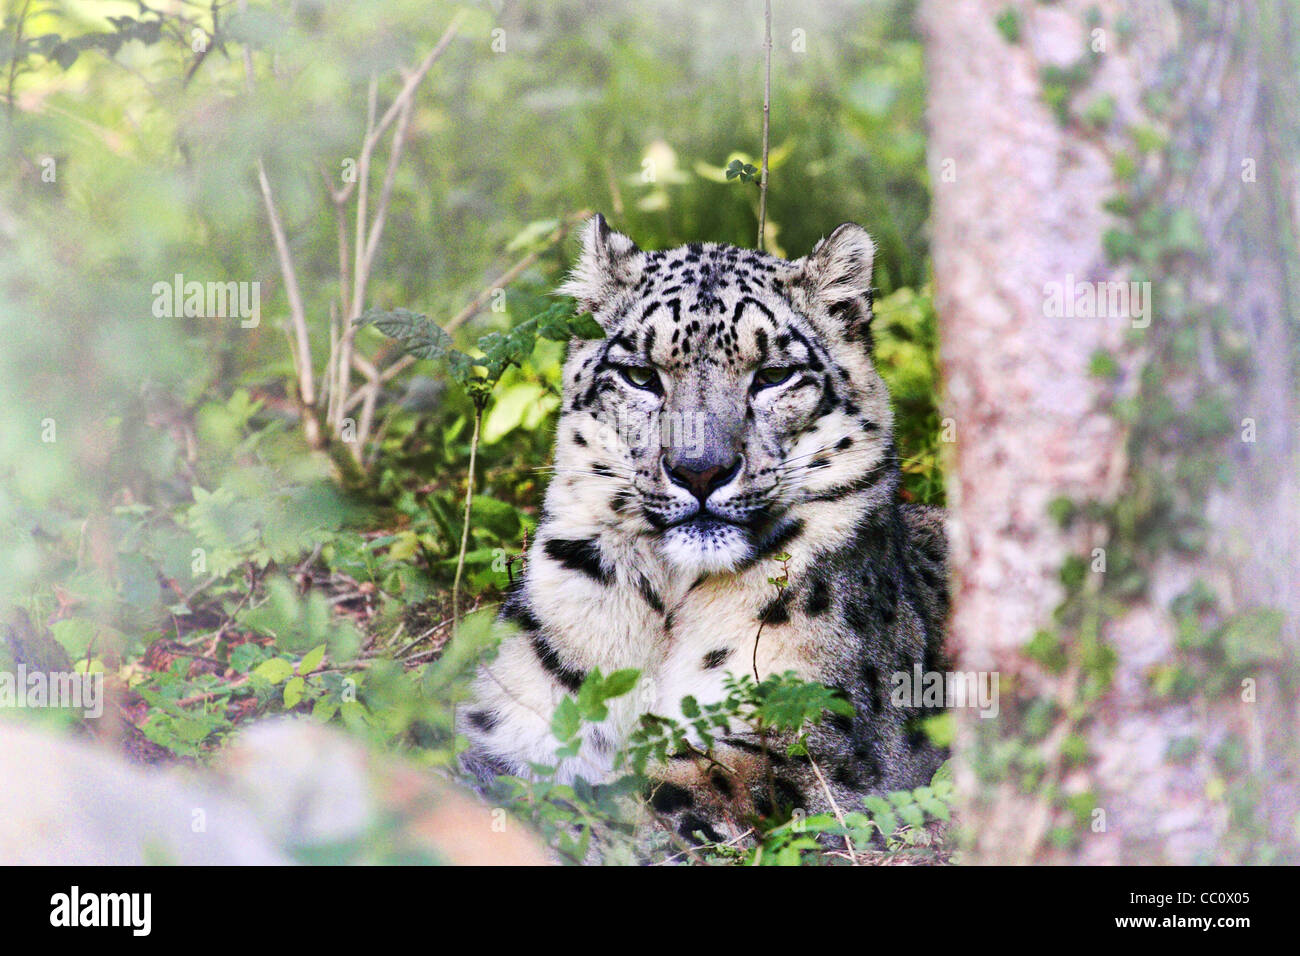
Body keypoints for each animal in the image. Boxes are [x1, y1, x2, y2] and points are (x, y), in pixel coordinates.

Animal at [457, 214, 946, 842]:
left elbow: (649, 787)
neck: (667, 605)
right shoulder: (510, 712)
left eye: (774, 375)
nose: (700, 469)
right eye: (641, 375)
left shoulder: (809, 738)